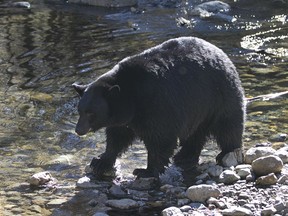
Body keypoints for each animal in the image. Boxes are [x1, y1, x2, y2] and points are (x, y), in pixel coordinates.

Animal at [72, 36, 245, 179]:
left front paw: (146, 170)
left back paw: (227, 153)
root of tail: (222, 54)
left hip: (219, 95)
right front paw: (101, 161)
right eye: (80, 111)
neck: (131, 97)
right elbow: (117, 137)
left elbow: (161, 138)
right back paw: (184, 155)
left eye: (91, 113)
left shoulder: (158, 103)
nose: (78, 130)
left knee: (228, 125)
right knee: (196, 132)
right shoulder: (123, 118)